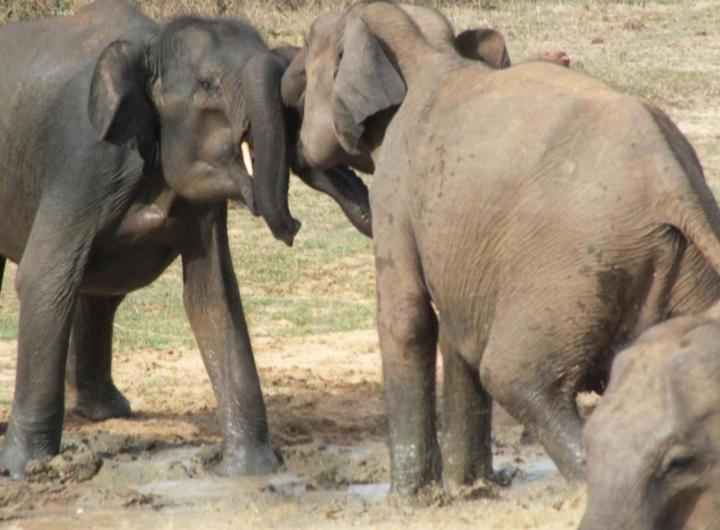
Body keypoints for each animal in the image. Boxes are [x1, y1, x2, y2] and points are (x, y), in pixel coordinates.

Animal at [0, 0, 372, 476]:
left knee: (103, 292)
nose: (293, 228)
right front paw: (24, 469)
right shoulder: (81, 159)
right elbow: (44, 278)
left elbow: (214, 296)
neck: (150, 43)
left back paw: (108, 411)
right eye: (208, 85)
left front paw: (249, 470)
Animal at [282, 2, 720, 492]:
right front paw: (469, 490)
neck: (428, 52)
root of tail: (670, 178)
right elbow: (457, 332)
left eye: (307, 44)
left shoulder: (396, 185)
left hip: (574, 263)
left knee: (514, 375)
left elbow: (408, 319)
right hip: (681, 262)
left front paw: (410, 498)